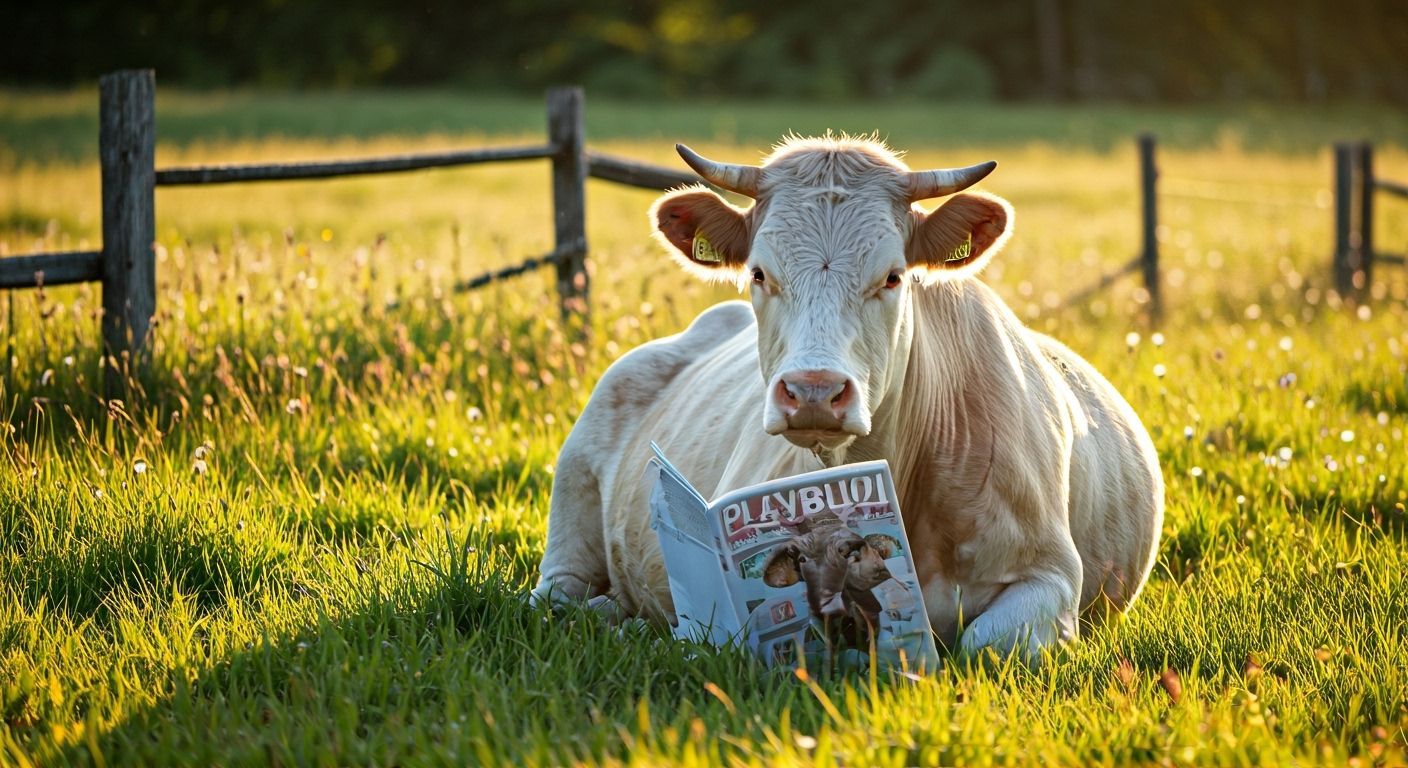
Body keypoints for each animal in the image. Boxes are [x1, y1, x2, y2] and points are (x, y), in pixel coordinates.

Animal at [531, 135, 1164, 662]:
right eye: (759, 273)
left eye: (893, 276)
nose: (813, 391)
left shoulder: (1051, 573)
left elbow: (985, 646)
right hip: (572, 491)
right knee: (555, 599)